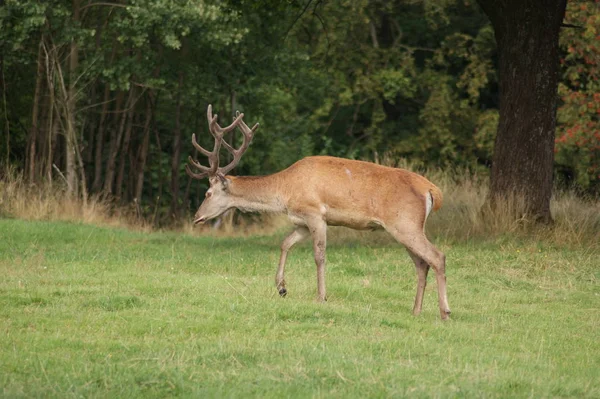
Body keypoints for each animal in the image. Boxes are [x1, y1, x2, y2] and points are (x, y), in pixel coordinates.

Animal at [186, 104, 450, 320]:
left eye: (208, 193)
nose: (197, 217)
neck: (285, 192)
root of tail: (432, 190)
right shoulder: (301, 221)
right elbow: (285, 243)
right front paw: (281, 287)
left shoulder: (315, 213)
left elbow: (319, 255)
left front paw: (321, 296)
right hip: (404, 228)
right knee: (422, 263)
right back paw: (416, 311)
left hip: (405, 223)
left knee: (437, 256)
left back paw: (444, 312)